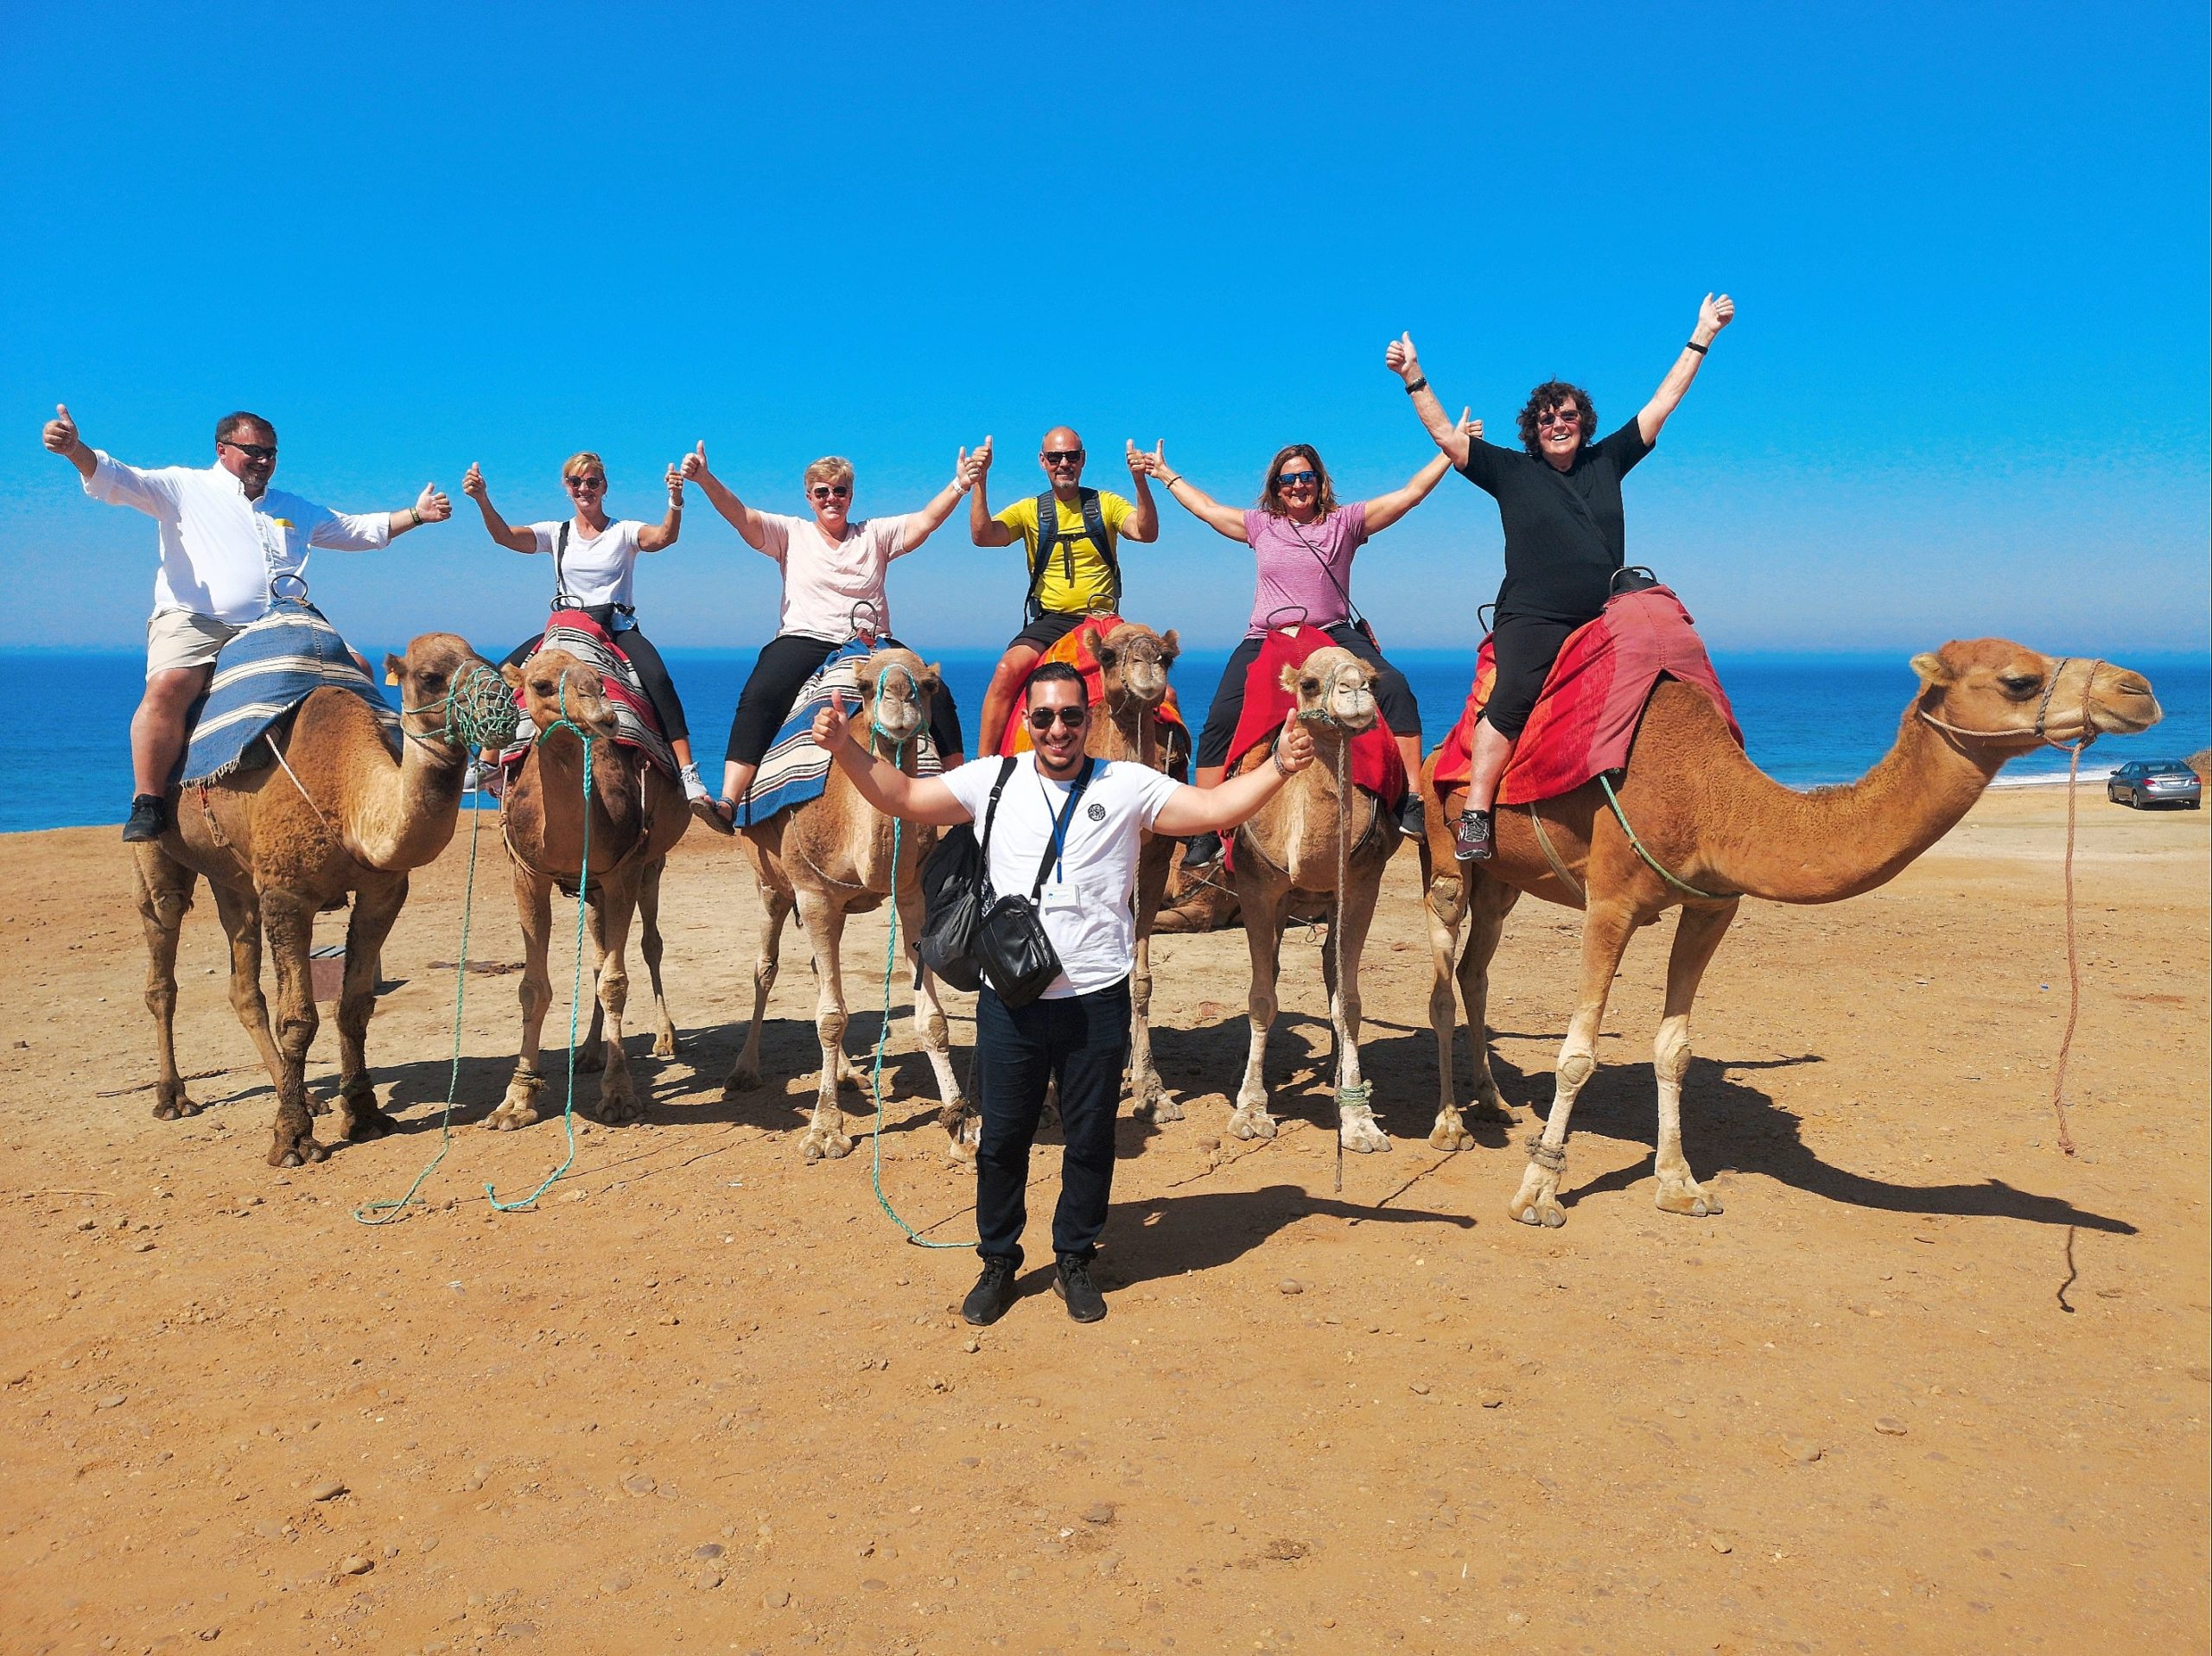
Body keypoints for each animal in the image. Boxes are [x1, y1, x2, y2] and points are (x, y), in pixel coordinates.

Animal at [129, 627, 502, 1158]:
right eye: (431, 677)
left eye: (483, 658)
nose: (502, 699)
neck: (350, 799)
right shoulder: (287, 895)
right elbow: (299, 1020)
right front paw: (292, 1139)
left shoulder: (383, 892)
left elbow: (355, 1007)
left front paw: (365, 1116)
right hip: (158, 850)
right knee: (163, 943)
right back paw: (173, 1097)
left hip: (235, 877)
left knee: (243, 979)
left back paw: (304, 1094)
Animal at [484, 654, 690, 1132]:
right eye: (540, 684)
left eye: (598, 681)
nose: (603, 715)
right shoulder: (527, 873)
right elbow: (533, 987)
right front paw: (516, 1099)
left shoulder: (624, 869)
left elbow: (616, 982)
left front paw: (619, 1095)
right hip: (591, 889)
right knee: (597, 958)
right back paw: (589, 1052)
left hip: (649, 867)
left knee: (650, 944)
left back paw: (664, 1036)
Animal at [725, 645, 969, 1158]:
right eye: (864, 687)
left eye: (929, 686)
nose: (899, 700)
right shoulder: (813, 894)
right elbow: (829, 1019)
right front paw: (824, 1132)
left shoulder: (912, 893)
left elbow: (933, 1021)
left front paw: (961, 1125)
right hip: (772, 886)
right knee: (766, 969)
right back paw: (745, 1069)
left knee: (820, 969)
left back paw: (843, 1074)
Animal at [1230, 645, 1397, 1149]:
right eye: (1308, 683)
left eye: (1371, 678)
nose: (1354, 690)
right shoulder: (1257, 888)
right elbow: (1261, 999)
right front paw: (1250, 1111)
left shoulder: (1362, 886)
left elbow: (1349, 1002)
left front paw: (1359, 1120)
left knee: (1328, 967)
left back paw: (1335, 1070)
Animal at [1415, 641, 2158, 1220]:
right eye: (2018, 679)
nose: (2139, 690)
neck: (1714, 797)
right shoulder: (1612, 899)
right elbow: (1577, 1053)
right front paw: (1539, 1190)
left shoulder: (1713, 905)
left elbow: (1675, 1048)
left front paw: (1680, 1184)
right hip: (1447, 852)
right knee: (1443, 980)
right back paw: (1448, 1124)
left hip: (1507, 878)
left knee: (1477, 970)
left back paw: (1494, 1101)